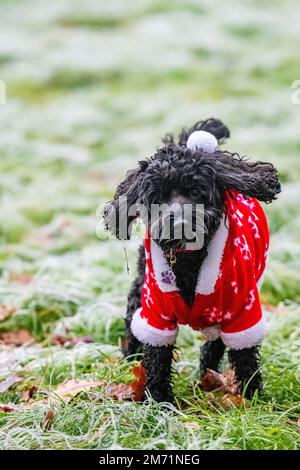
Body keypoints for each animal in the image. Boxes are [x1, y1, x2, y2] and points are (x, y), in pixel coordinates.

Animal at [104, 117, 280, 400]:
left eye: (196, 191)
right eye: (158, 197)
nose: (179, 223)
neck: (188, 262)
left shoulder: (242, 308)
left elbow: (244, 355)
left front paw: (252, 398)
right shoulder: (155, 310)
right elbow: (157, 355)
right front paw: (158, 400)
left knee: (215, 341)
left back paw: (208, 373)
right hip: (140, 286)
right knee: (133, 324)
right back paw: (130, 362)